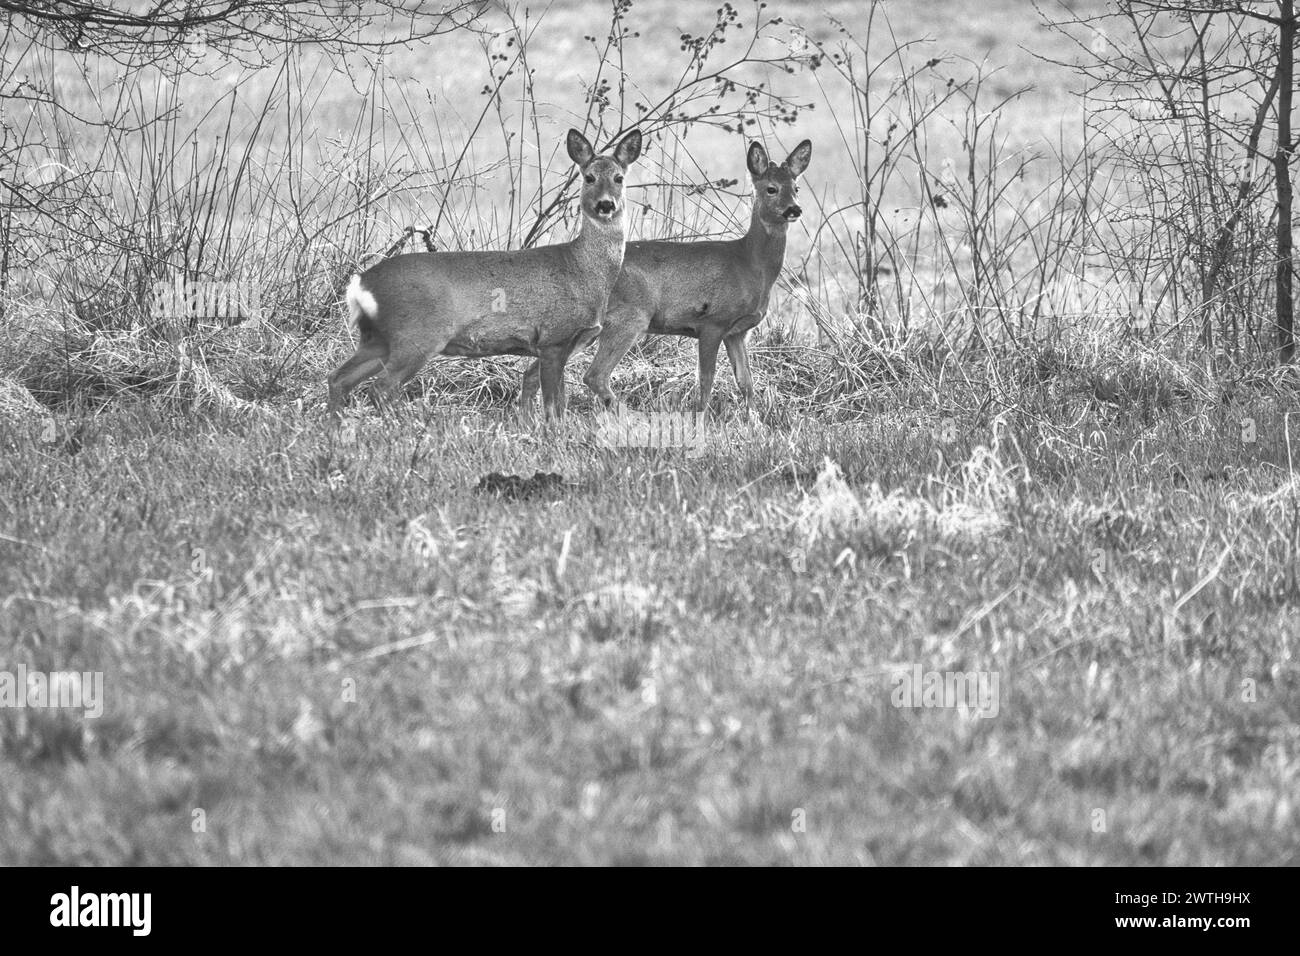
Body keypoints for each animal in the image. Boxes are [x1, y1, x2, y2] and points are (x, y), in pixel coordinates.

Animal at [330, 128, 644, 421]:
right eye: (589, 177)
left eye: (619, 178)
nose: (606, 204)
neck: (584, 270)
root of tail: (360, 284)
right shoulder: (554, 338)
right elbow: (554, 407)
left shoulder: (570, 342)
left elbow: (557, 402)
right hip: (416, 335)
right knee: (380, 388)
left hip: (377, 339)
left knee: (338, 379)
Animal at [520, 137, 811, 416]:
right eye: (771, 188)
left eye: (796, 188)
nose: (794, 209)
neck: (749, 264)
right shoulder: (712, 321)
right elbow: (706, 379)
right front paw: (701, 419)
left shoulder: (737, 332)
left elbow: (745, 382)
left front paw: (755, 420)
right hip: (628, 317)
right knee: (594, 375)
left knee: (535, 371)